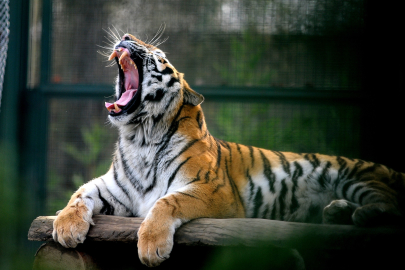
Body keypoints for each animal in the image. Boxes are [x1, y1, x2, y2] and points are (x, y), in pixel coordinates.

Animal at [52, 31, 402, 266]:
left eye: (159, 55)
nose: (126, 35)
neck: (140, 138)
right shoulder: (116, 189)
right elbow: (80, 194)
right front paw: (65, 227)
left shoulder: (213, 190)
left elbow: (167, 202)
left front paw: (151, 246)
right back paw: (337, 211)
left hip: (355, 176)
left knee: (391, 204)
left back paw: (363, 213)